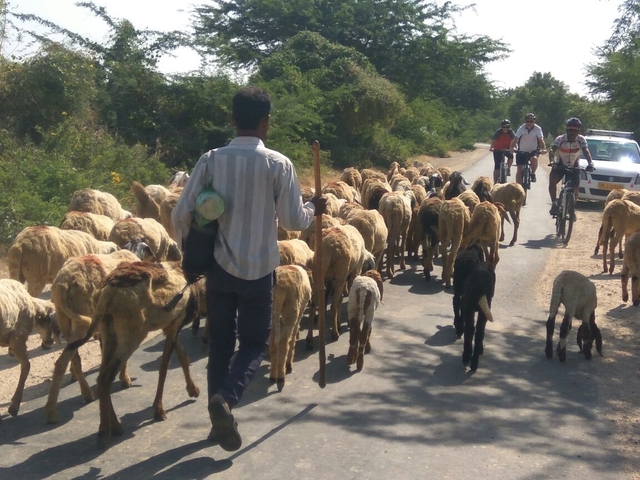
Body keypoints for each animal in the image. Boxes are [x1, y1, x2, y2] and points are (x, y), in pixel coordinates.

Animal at [43, 249, 143, 424]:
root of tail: (63, 283)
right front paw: (125, 380)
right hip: (81, 317)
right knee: (63, 361)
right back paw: (52, 413)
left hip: (64, 318)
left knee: (74, 358)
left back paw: (87, 394)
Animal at [66, 261, 201, 446]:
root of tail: (106, 294)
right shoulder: (175, 324)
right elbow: (164, 366)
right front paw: (159, 410)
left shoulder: (171, 326)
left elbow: (182, 357)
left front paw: (193, 390)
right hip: (132, 334)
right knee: (106, 377)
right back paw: (105, 432)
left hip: (108, 331)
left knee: (102, 376)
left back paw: (113, 426)